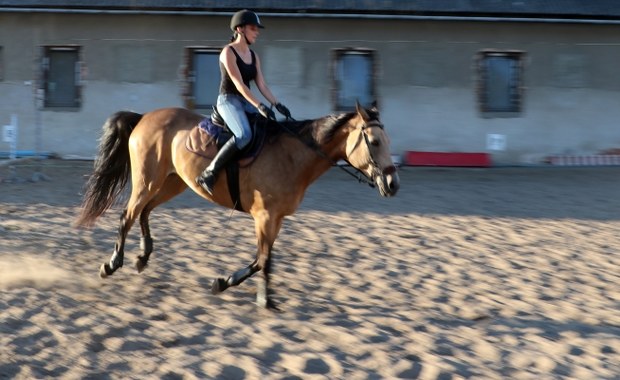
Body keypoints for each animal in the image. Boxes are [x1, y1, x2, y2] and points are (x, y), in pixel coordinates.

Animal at [75, 101, 400, 308]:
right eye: (374, 141)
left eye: (387, 139)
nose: (393, 184)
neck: (293, 156)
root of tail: (144, 117)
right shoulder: (265, 216)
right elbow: (263, 260)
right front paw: (258, 297)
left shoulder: (276, 218)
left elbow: (261, 260)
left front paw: (233, 285)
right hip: (147, 180)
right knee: (127, 215)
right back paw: (112, 264)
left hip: (173, 182)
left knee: (144, 212)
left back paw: (143, 257)